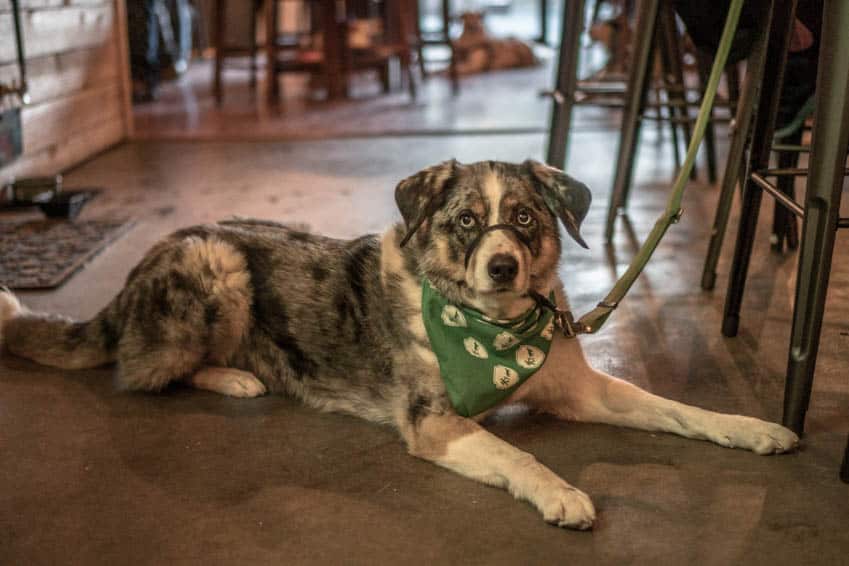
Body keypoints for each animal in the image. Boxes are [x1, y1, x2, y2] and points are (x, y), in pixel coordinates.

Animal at [0, 161, 800, 532]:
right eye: (466, 221)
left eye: (524, 218)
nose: (503, 266)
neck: (493, 328)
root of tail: (131, 277)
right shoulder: (435, 424)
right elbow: (516, 453)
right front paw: (562, 493)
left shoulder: (581, 389)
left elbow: (673, 408)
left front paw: (752, 428)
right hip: (216, 264)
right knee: (139, 372)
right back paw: (234, 379)